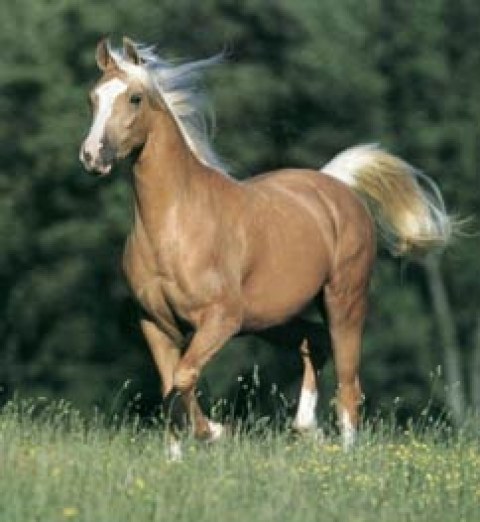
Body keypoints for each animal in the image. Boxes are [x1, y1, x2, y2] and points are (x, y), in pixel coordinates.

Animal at [80, 37, 452, 456]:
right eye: (93, 97)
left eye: (135, 98)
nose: (92, 156)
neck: (175, 224)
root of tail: (336, 186)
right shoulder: (156, 323)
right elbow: (171, 387)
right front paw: (176, 457)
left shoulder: (221, 319)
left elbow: (184, 376)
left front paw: (215, 432)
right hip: (271, 319)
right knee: (315, 343)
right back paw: (306, 427)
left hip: (344, 301)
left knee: (348, 386)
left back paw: (344, 453)